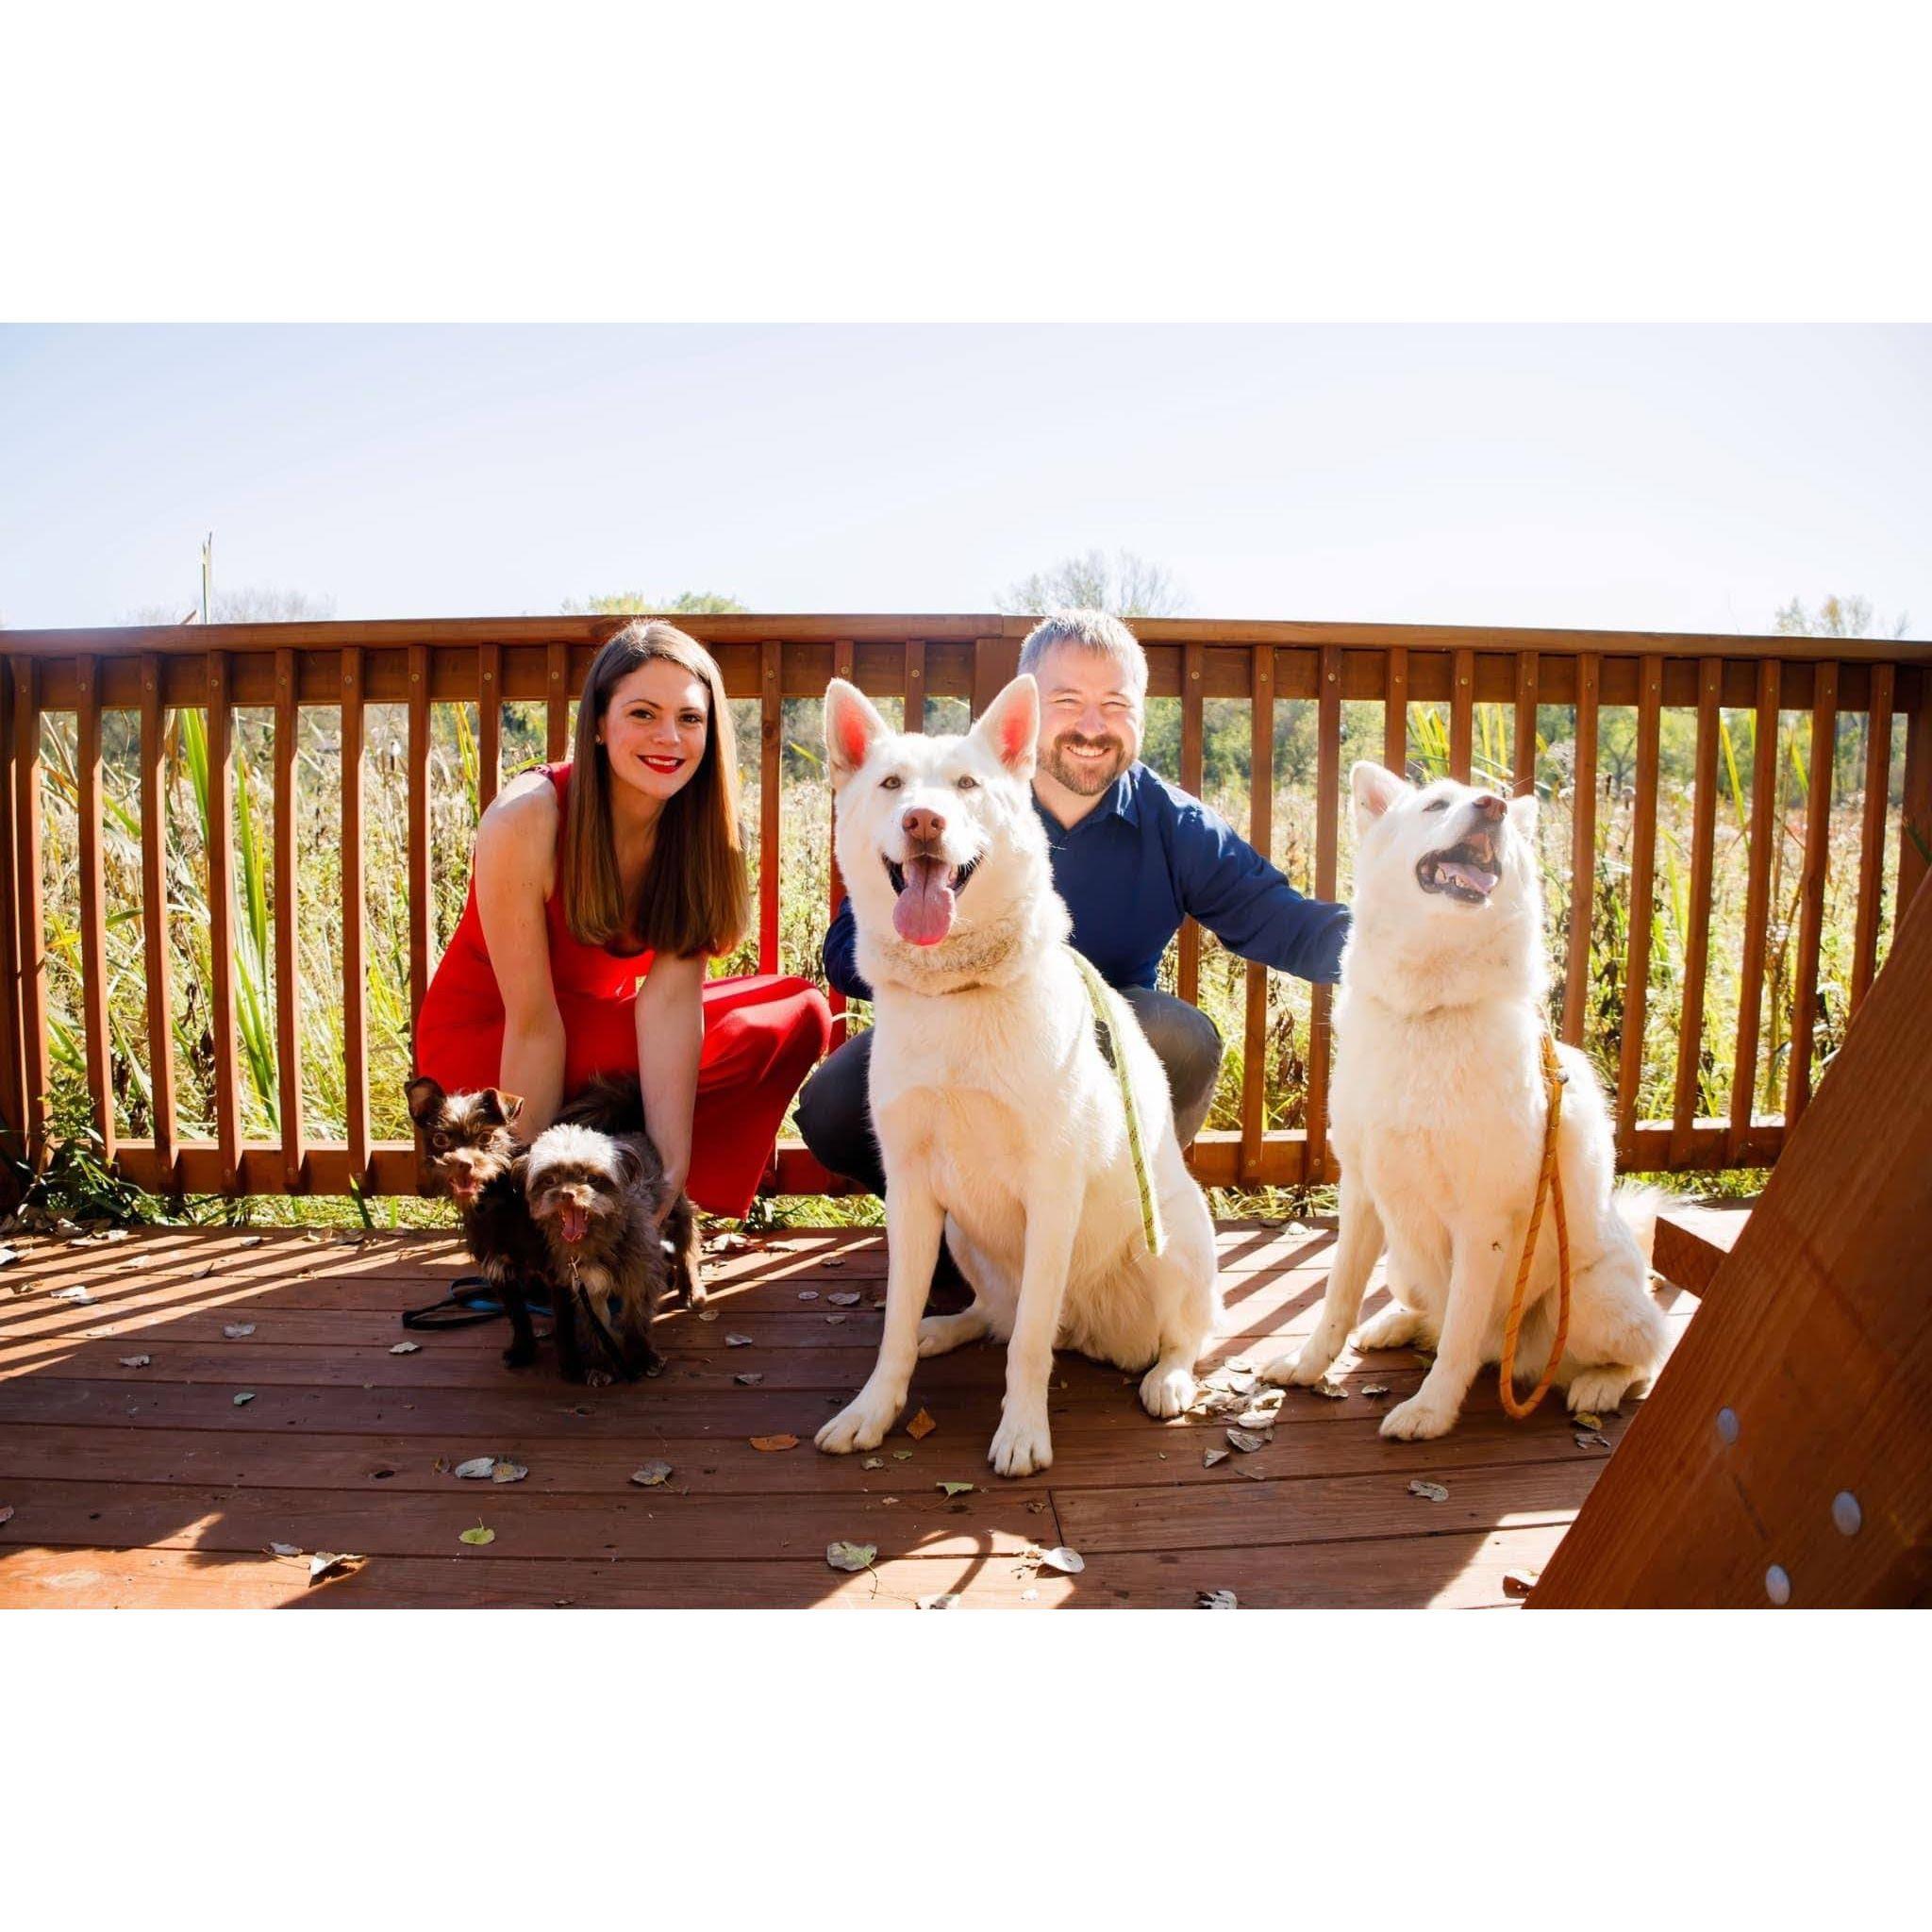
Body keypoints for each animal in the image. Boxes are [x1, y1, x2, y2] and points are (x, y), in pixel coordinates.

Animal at [819, 672, 1221, 1468]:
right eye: (891, 784)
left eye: (967, 785)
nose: (923, 822)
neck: (959, 993)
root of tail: (1092, 1328)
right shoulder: (911, 1192)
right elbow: (894, 1330)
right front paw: (874, 1409)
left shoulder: (1052, 1188)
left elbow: (1030, 1345)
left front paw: (1023, 1431)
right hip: (961, 1235)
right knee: (992, 1313)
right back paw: (945, 1327)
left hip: (1176, 1238)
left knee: (1177, 1335)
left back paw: (1169, 1378)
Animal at [1259, 760, 1669, 1444]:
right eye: (1436, 805)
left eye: (1491, 799)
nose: (1493, 806)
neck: (1430, 1011)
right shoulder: (1362, 1195)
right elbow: (1338, 1299)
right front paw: (1306, 1365)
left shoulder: (1483, 1228)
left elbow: (1458, 1337)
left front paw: (1429, 1412)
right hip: (1402, 1260)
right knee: (1432, 1316)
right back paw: (1394, 1325)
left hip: (1586, 1301)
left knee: (1644, 1355)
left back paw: (1599, 1386)